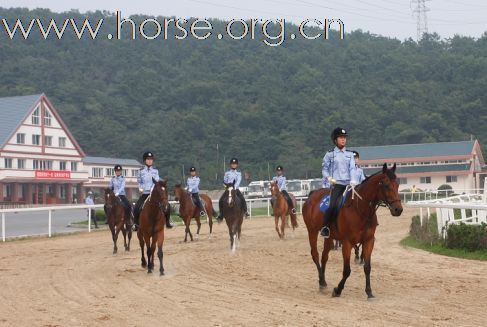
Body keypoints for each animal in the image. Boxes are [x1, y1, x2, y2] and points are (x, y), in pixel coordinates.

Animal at [302, 164, 404, 300]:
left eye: (397, 184)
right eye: (386, 185)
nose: (398, 209)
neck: (360, 209)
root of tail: (312, 194)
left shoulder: (369, 241)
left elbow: (367, 267)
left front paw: (369, 292)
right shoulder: (347, 243)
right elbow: (347, 270)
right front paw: (338, 290)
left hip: (329, 237)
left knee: (324, 257)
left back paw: (322, 282)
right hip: (312, 231)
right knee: (315, 255)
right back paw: (322, 282)